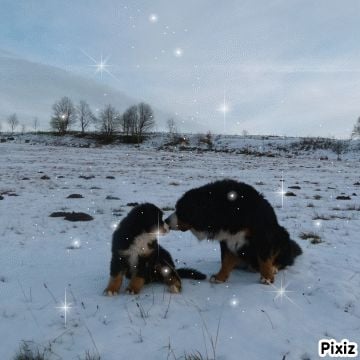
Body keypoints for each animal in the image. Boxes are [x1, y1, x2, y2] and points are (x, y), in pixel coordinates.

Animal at [165, 179, 300, 284]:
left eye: (181, 210)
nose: (166, 221)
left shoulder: (261, 234)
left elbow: (264, 258)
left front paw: (267, 277)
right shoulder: (226, 238)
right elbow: (225, 260)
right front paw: (220, 277)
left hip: (281, 235)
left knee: (283, 260)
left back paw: (274, 267)